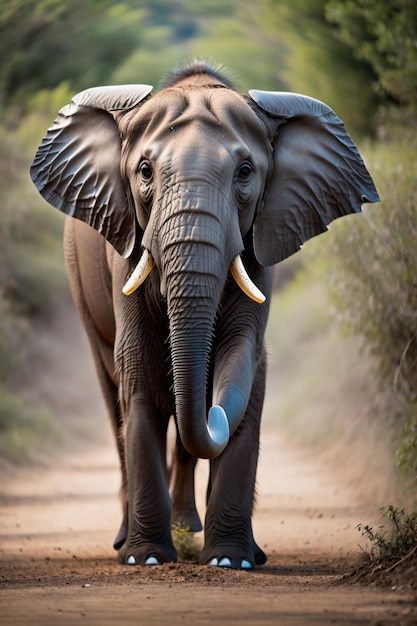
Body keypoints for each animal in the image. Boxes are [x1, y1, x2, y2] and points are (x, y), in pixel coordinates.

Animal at [30, 61, 378, 568]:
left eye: (245, 172)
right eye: (145, 171)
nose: (212, 412)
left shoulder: (261, 245)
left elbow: (244, 359)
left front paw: (233, 560)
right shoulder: (128, 246)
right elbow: (137, 369)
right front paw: (147, 558)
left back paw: (188, 527)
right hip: (78, 278)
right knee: (112, 392)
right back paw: (126, 538)